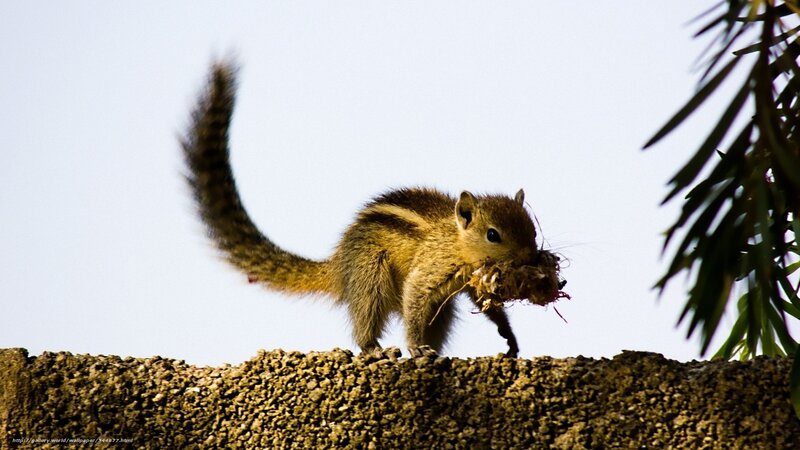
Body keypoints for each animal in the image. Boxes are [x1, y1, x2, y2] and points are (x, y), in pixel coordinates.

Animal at [182, 61, 541, 358]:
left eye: (533, 230)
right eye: (493, 235)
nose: (531, 259)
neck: (456, 239)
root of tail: (338, 263)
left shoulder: (470, 283)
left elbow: (487, 306)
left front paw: (508, 336)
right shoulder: (430, 269)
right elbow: (415, 300)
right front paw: (414, 345)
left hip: (438, 308)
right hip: (371, 274)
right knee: (367, 316)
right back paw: (377, 349)